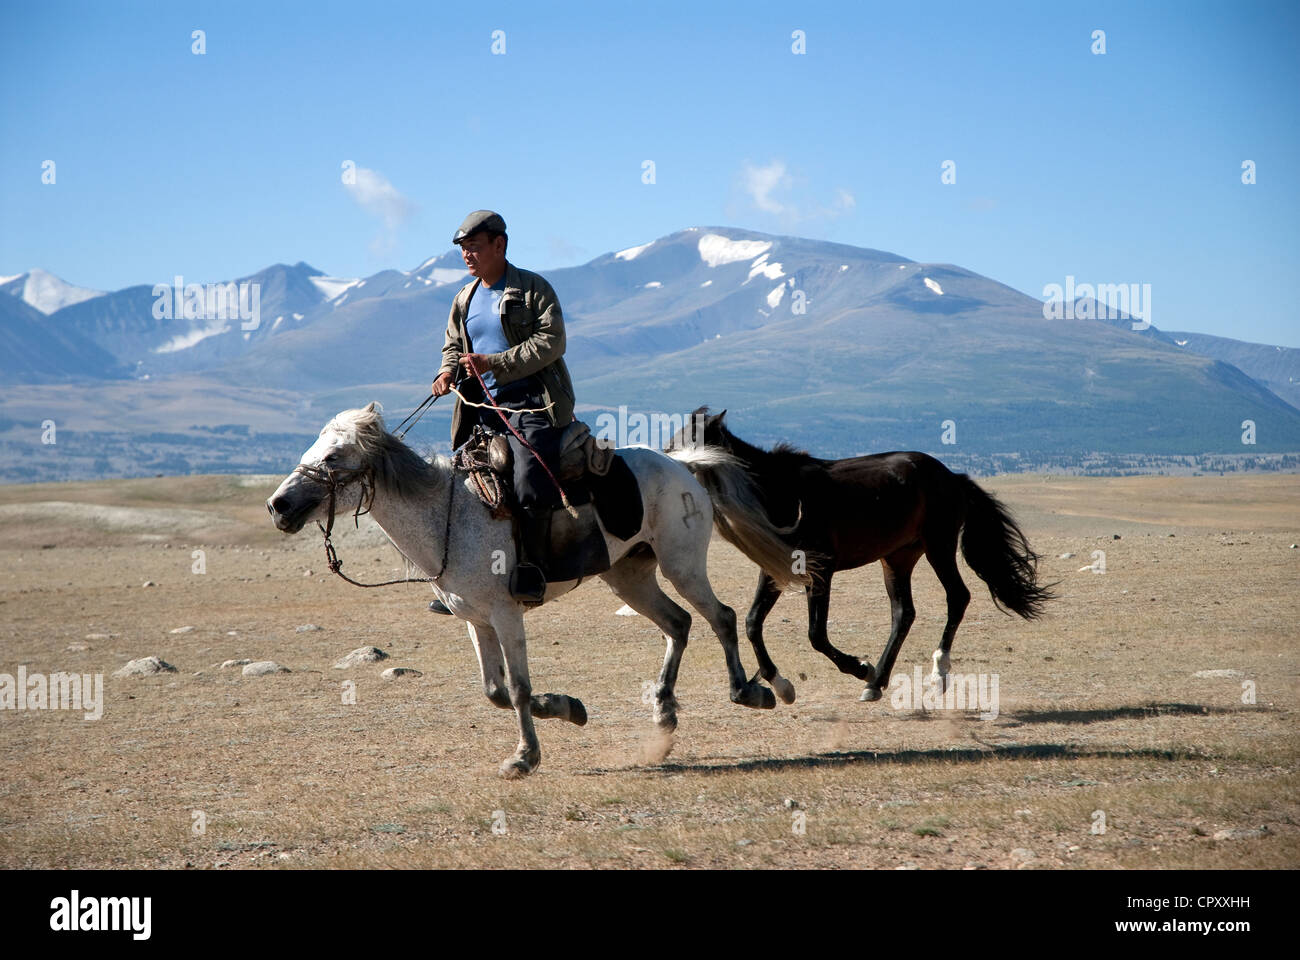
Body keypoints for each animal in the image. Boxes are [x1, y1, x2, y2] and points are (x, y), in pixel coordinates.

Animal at [265, 400, 795, 775]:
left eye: (333, 456)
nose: (278, 506)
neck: (450, 517)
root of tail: (681, 464)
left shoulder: (506, 614)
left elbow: (518, 689)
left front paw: (525, 757)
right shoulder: (476, 621)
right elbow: (495, 691)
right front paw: (568, 708)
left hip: (682, 565)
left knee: (720, 617)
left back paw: (754, 691)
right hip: (629, 577)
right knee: (678, 623)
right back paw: (664, 716)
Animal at [665, 408, 1050, 697]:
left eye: (695, 441)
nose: (672, 467)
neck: (780, 491)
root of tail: (953, 477)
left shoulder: (821, 571)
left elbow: (816, 635)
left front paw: (857, 667)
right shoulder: (775, 569)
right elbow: (752, 623)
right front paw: (782, 684)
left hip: (938, 547)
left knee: (957, 596)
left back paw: (935, 672)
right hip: (897, 559)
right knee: (903, 613)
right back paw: (877, 682)